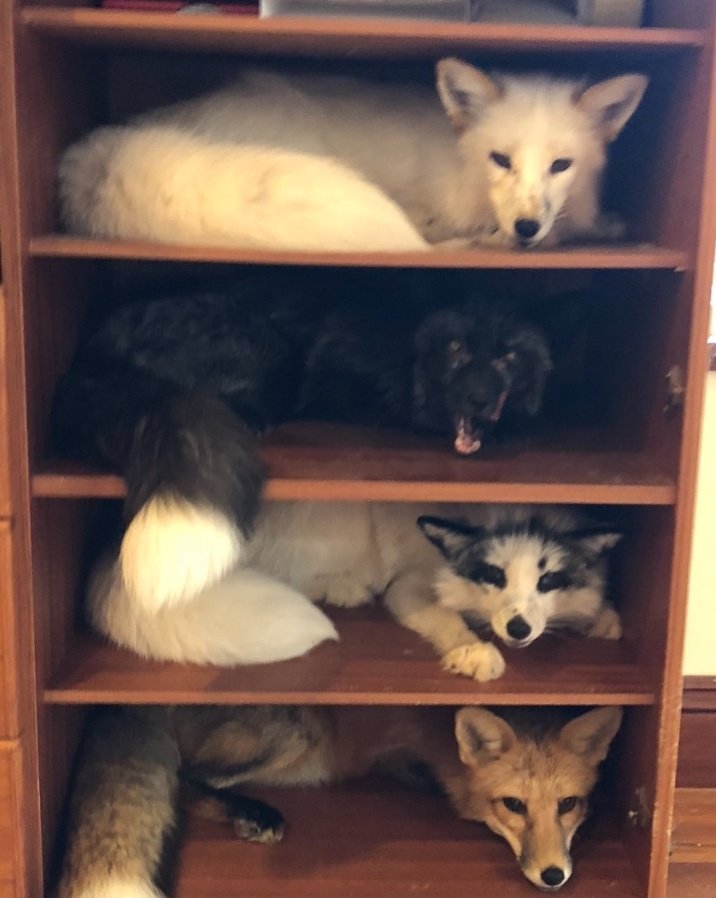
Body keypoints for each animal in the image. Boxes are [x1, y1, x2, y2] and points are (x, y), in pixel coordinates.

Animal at [57, 702, 623, 897]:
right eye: (514, 806)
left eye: (569, 805)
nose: (553, 876)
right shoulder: (397, 752)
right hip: (295, 732)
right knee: (184, 778)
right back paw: (252, 813)